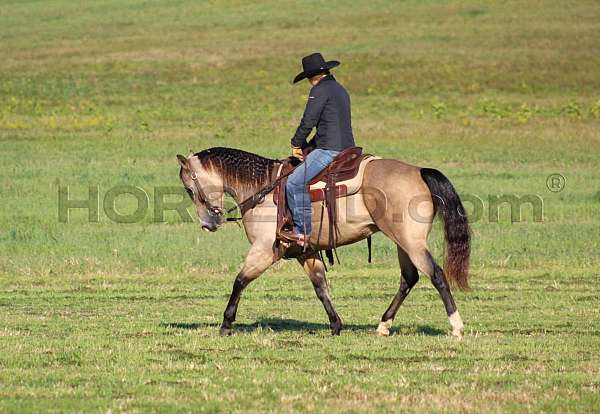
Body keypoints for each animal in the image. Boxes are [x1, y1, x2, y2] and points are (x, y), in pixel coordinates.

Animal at [176, 147, 472, 338]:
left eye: (190, 189)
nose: (208, 224)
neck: (264, 188)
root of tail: (419, 171)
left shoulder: (264, 250)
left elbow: (240, 281)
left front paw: (226, 324)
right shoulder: (305, 252)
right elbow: (321, 287)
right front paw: (336, 325)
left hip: (411, 242)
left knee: (436, 274)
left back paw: (456, 326)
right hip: (402, 242)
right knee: (409, 279)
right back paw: (383, 326)